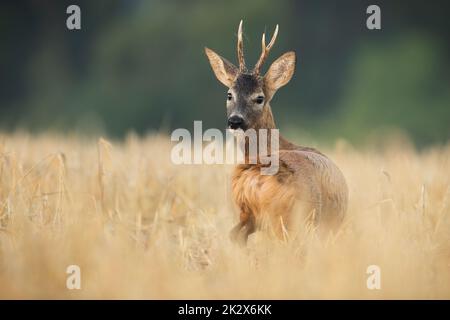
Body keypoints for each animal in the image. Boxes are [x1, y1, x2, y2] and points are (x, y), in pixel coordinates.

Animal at [204, 20, 348, 245]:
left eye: (259, 97)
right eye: (229, 94)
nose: (235, 120)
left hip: (250, 214)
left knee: (235, 236)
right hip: (293, 218)